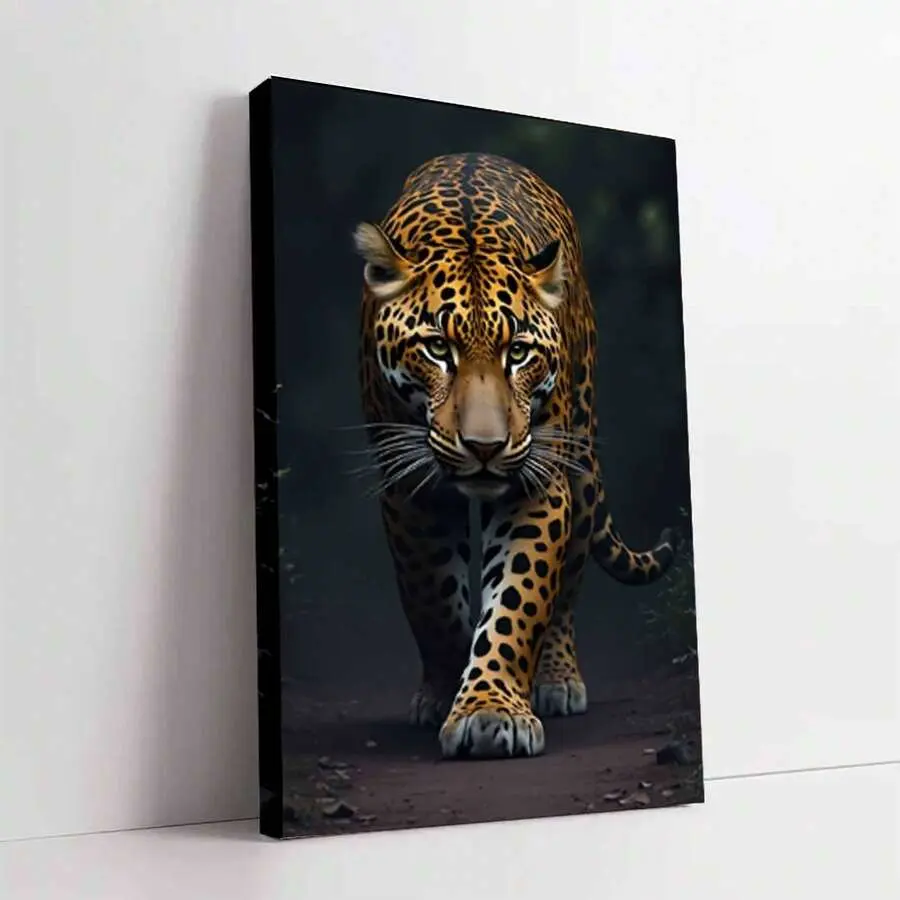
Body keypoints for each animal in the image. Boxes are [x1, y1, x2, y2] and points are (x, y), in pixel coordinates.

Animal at [353, 152, 677, 760]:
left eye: (519, 353)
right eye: (438, 348)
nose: (485, 448)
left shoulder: (540, 480)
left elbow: (520, 596)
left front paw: (490, 706)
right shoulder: (408, 487)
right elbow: (431, 596)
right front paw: (450, 687)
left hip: (579, 464)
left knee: (568, 583)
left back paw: (556, 680)